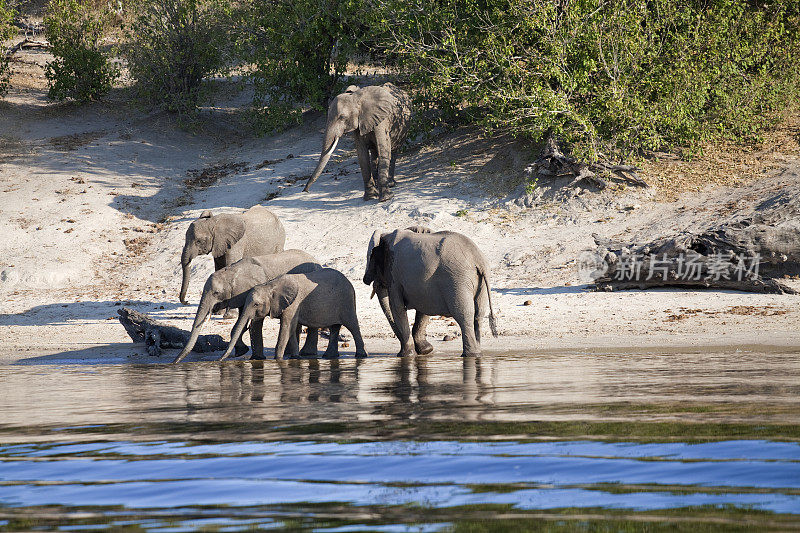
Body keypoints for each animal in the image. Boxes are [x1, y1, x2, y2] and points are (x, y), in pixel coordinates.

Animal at [171, 249, 318, 362]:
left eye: (216, 293)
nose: (174, 362)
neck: (232, 271)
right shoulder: (241, 295)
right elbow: (242, 321)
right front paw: (245, 353)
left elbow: (253, 322)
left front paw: (252, 356)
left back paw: (306, 354)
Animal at [220, 268, 368, 360]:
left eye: (256, 304)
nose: (220, 360)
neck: (270, 285)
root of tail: (349, 282)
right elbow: (290, 328)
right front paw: (295, 357)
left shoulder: (293, 303)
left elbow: (286, 327)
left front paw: (278, 359)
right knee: (335, 328)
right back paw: (329, 356)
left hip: (346, 301)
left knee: (352, 325)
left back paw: (361, 356)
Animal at [364, 225, 500, 358]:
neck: (386, 235)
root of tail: (478, 259)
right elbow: (423, 307)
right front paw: (425, 351)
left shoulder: (394, 275)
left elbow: (397, 307)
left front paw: (406, 355)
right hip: (478, 283)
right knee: (478, 315)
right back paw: (477, 353)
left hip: (457, 280)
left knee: (464, 315)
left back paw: (470, 355)